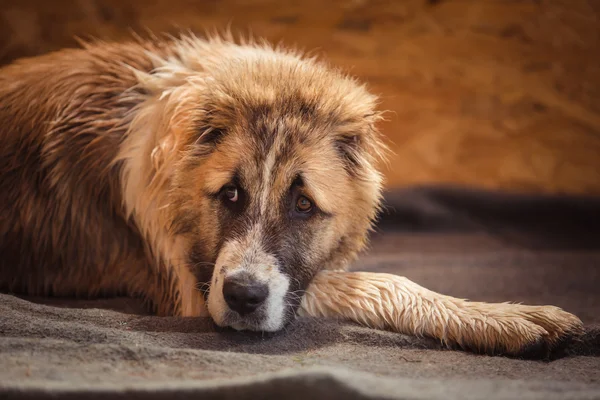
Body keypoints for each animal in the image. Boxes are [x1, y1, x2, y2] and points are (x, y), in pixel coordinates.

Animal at [0, 33, 580, 360]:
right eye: (230, 194)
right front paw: (505, 320)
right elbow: (378, 283)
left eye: (303, 205)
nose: (243, 298)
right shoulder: (194, 291)